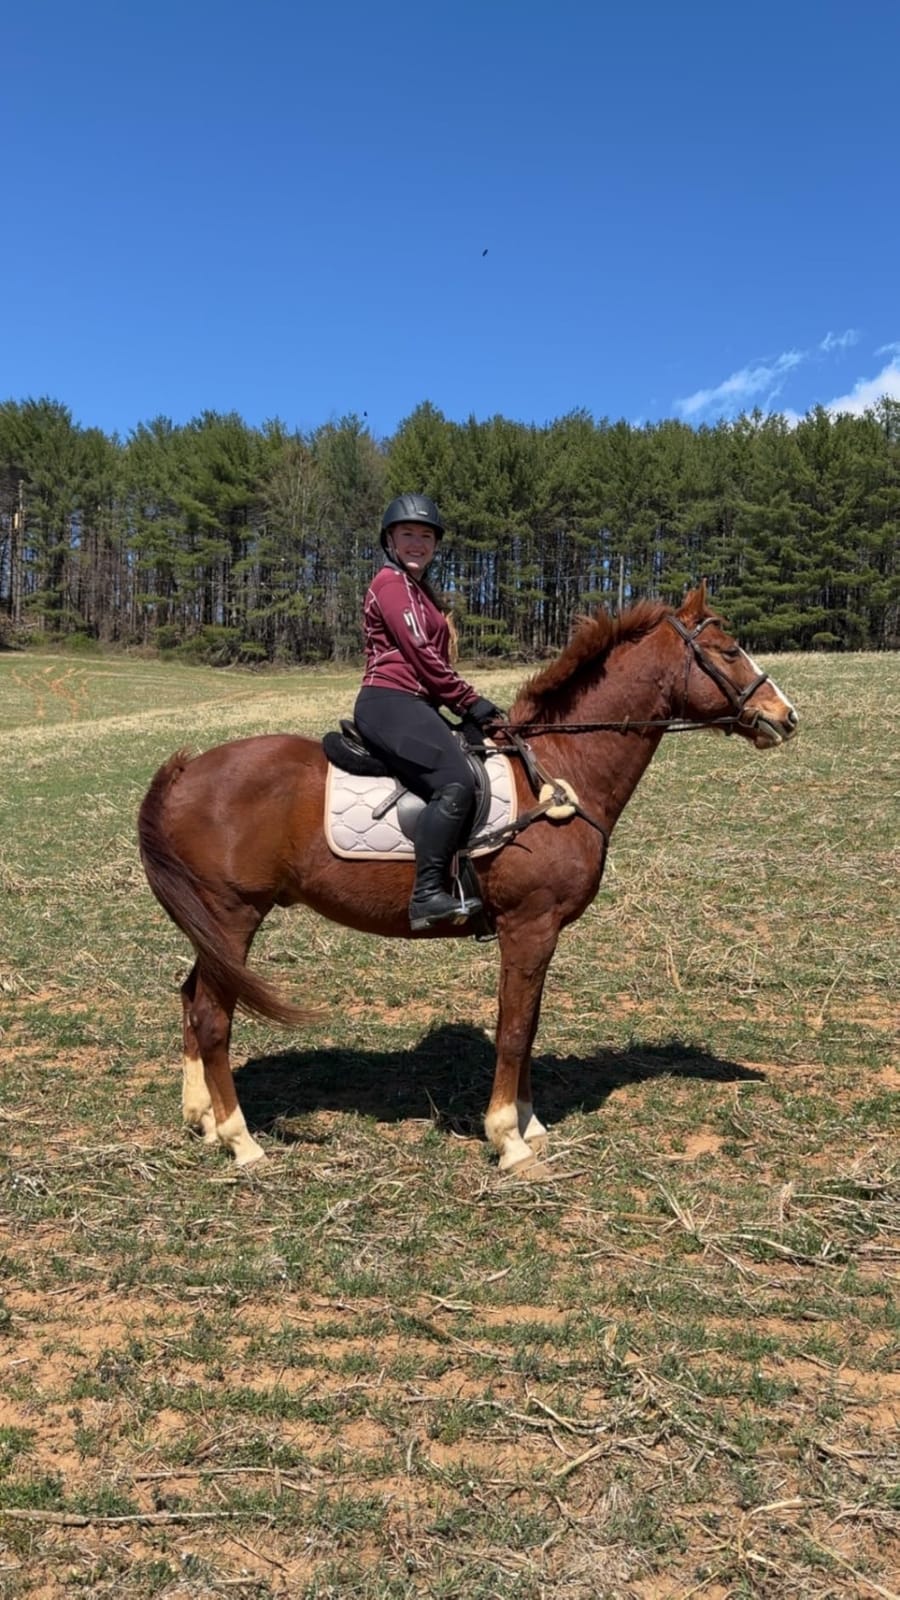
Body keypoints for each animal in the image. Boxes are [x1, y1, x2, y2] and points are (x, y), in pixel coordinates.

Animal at [138, 584, 798, 1175]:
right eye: (730, 650)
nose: (785, 717)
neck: (558, 769)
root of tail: (187, 770)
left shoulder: (538, 933)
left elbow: (527, 1025)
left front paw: (531, 1123)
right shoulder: (530, 926)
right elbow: (514, 1028)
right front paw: (509, 1140)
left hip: (216, 930)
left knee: (192, 999)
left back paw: (203, 1119)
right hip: (232, 916)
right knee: (212, 1018)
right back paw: (241, 1140)